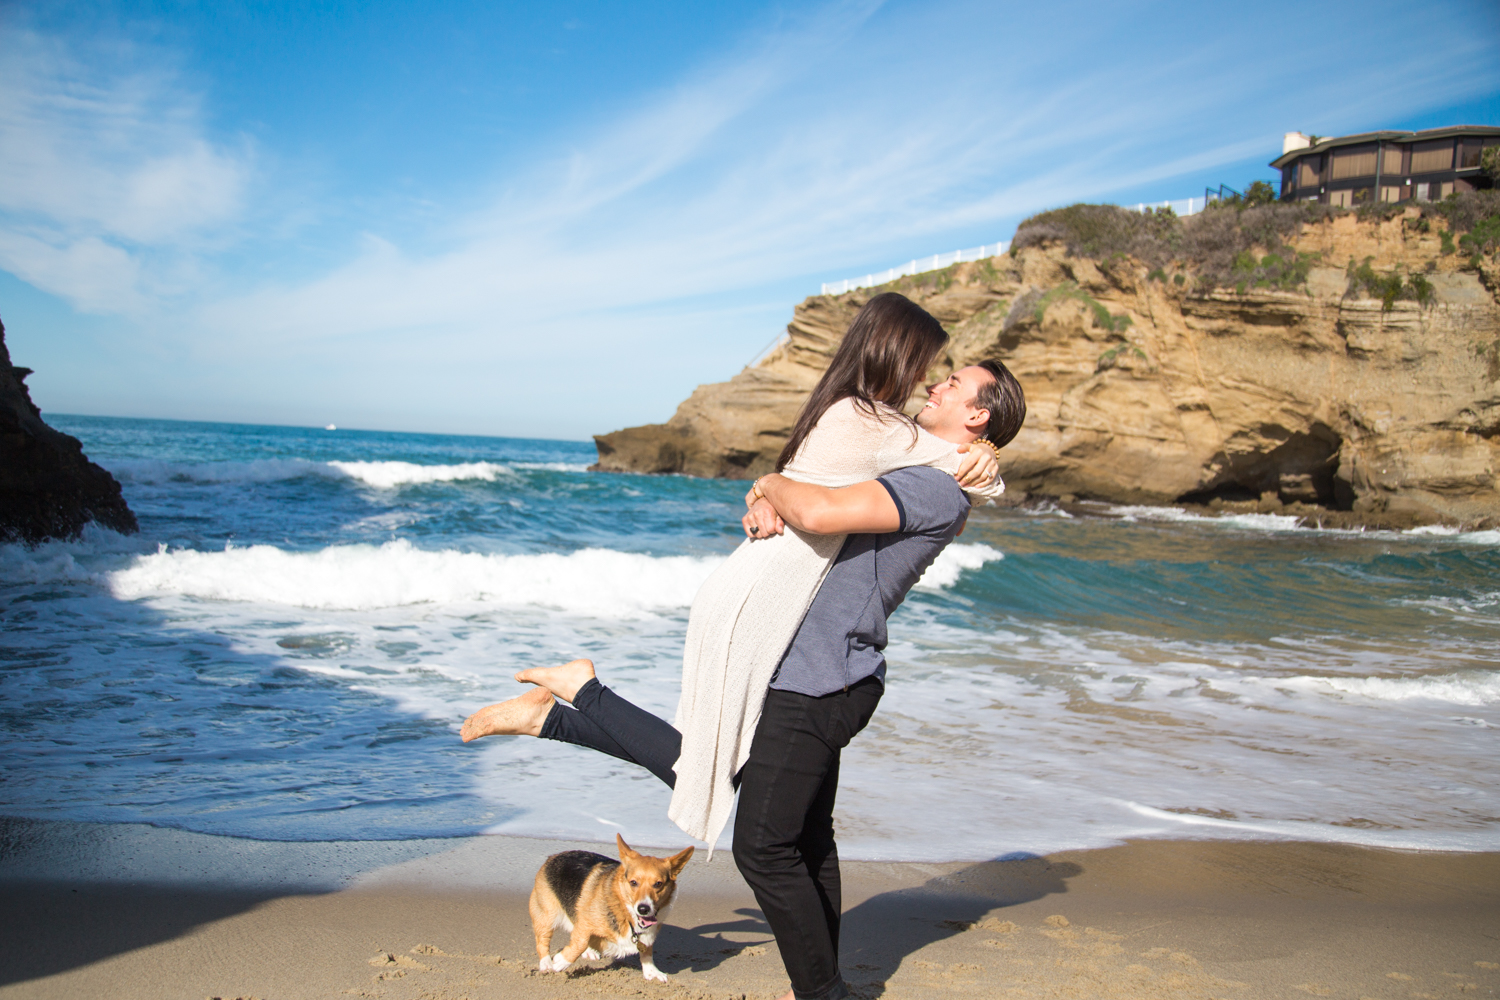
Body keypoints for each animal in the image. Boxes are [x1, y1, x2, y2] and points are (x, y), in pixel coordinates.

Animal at [531, 833, 693, 983]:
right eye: (633, 882)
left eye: (658, 884)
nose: (643, 909)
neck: (626, 914)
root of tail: (553, 857)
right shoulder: (585, 923)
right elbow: (580, 943)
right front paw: (561, 961)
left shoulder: (648, 935)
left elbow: (647, 952)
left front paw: (652, 972)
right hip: (547, 916)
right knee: (542, 942)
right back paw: (546, 964)